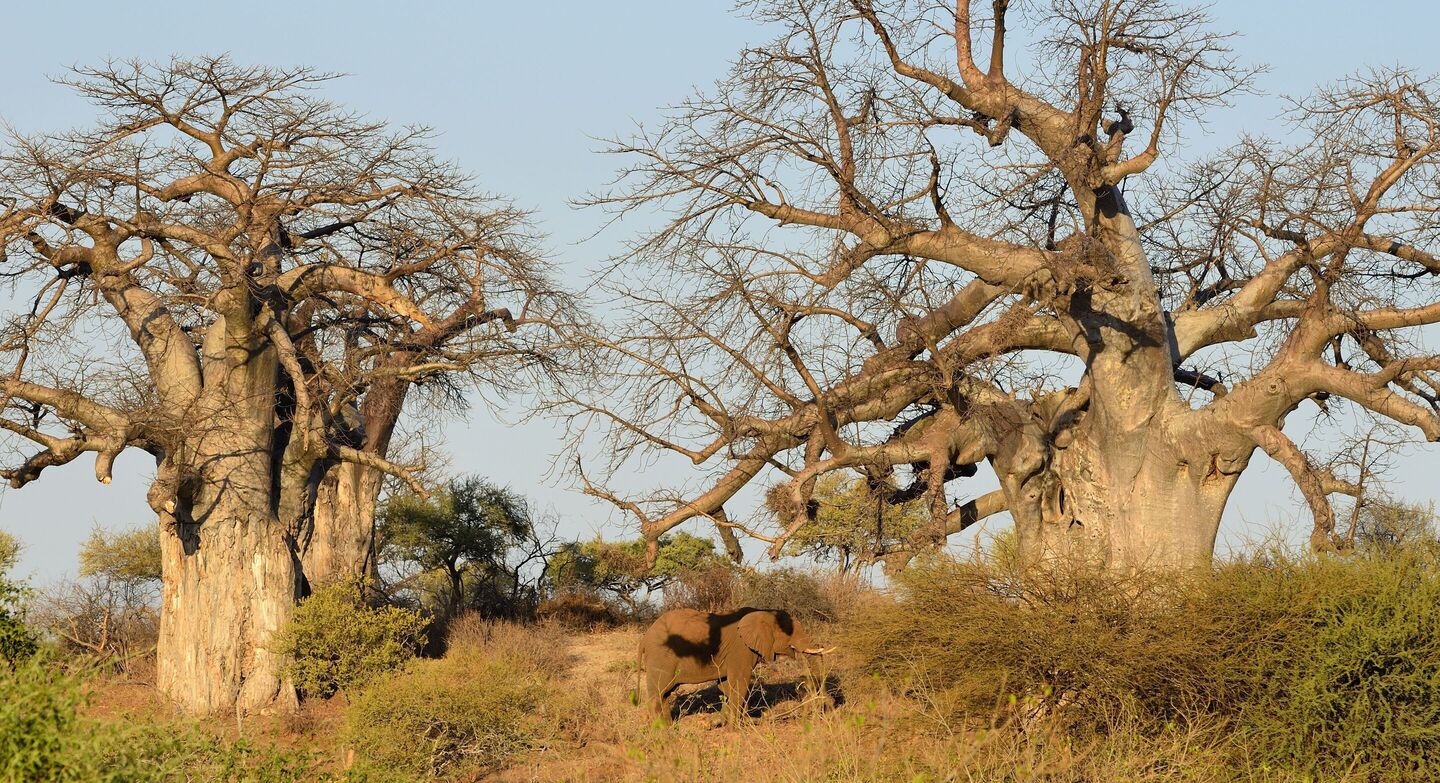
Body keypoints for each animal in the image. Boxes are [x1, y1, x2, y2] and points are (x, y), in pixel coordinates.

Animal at [636, 607, 833, 723]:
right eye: (790, 633)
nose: (829, 705)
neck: (763, 612)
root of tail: (644, 638)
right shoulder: (741, 650)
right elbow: (739, 682)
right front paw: (736, 728)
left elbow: (726, 686)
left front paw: (729, 722)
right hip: (661, 658)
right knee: (658, 693)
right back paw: (662, 731)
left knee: (664, 694)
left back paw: (667, 726)